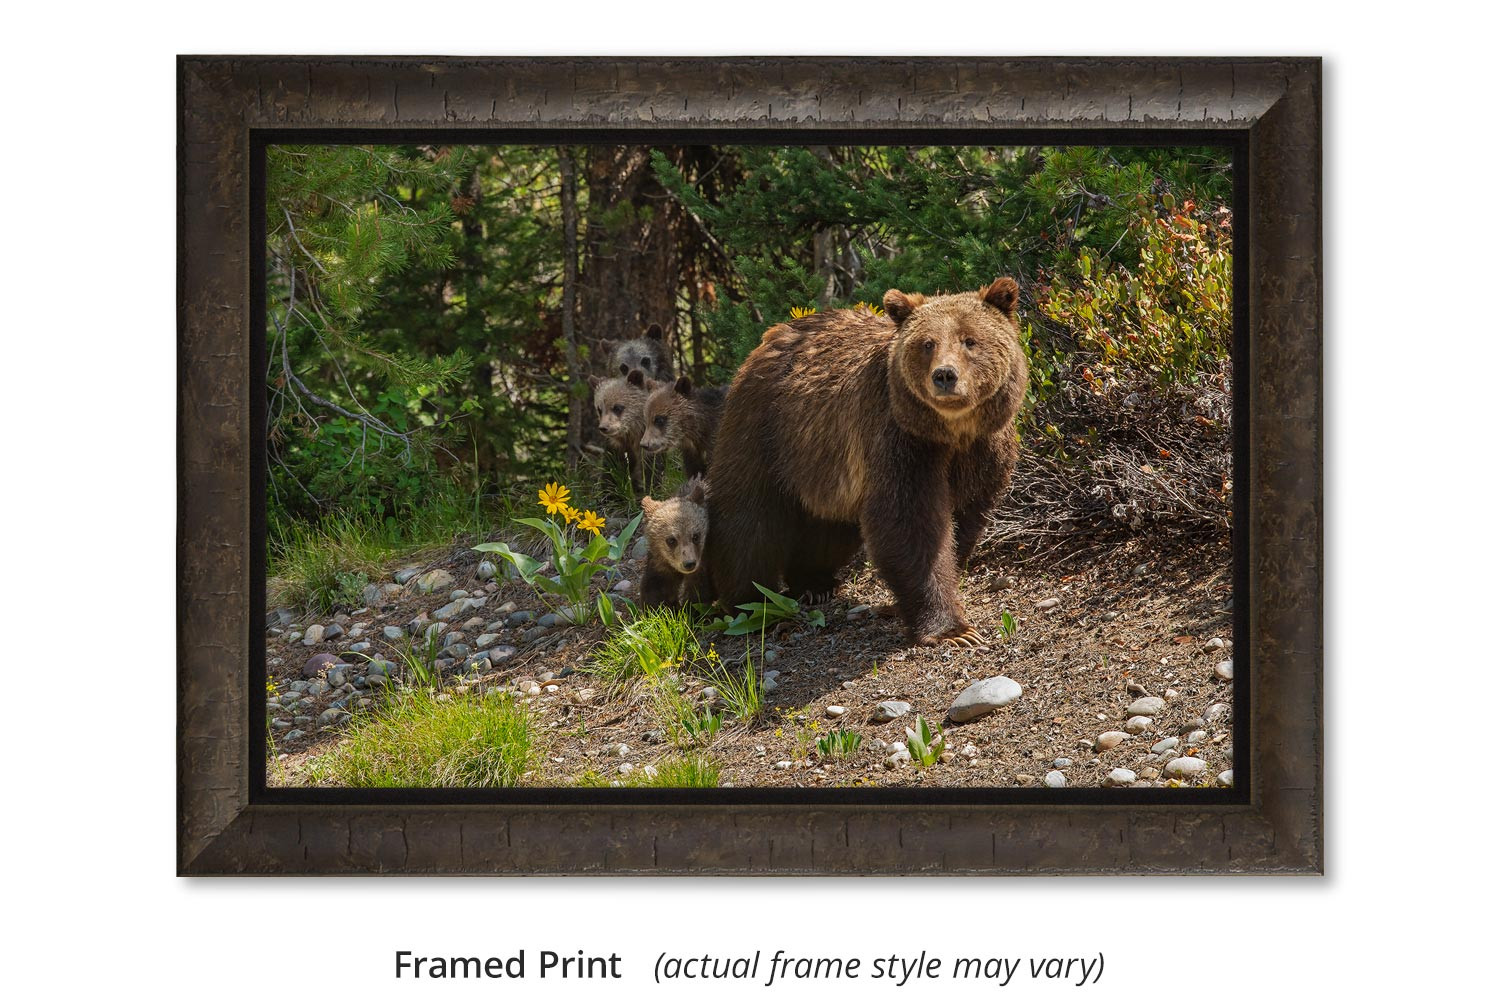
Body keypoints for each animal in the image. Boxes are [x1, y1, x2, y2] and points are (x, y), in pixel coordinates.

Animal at [639, 476, 712, 607]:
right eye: (671, 540)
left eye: (696, 536)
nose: (689, 563)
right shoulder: (660, 564)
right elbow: (654, 589)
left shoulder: (703, 564)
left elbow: (698, 595)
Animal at [705, 278, 1029, 648]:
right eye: (927, 343)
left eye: (970, 340)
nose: (945, 376)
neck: (952, 432)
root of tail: (771, 336)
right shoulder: (900, 441)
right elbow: (910, 523)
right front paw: (952, 630)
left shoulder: (982, 450)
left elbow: (965, 516)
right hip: (765, 430)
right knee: (748, 518)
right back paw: (750, 602)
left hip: (824, 463)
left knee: (829, 526)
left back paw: (814, 582)